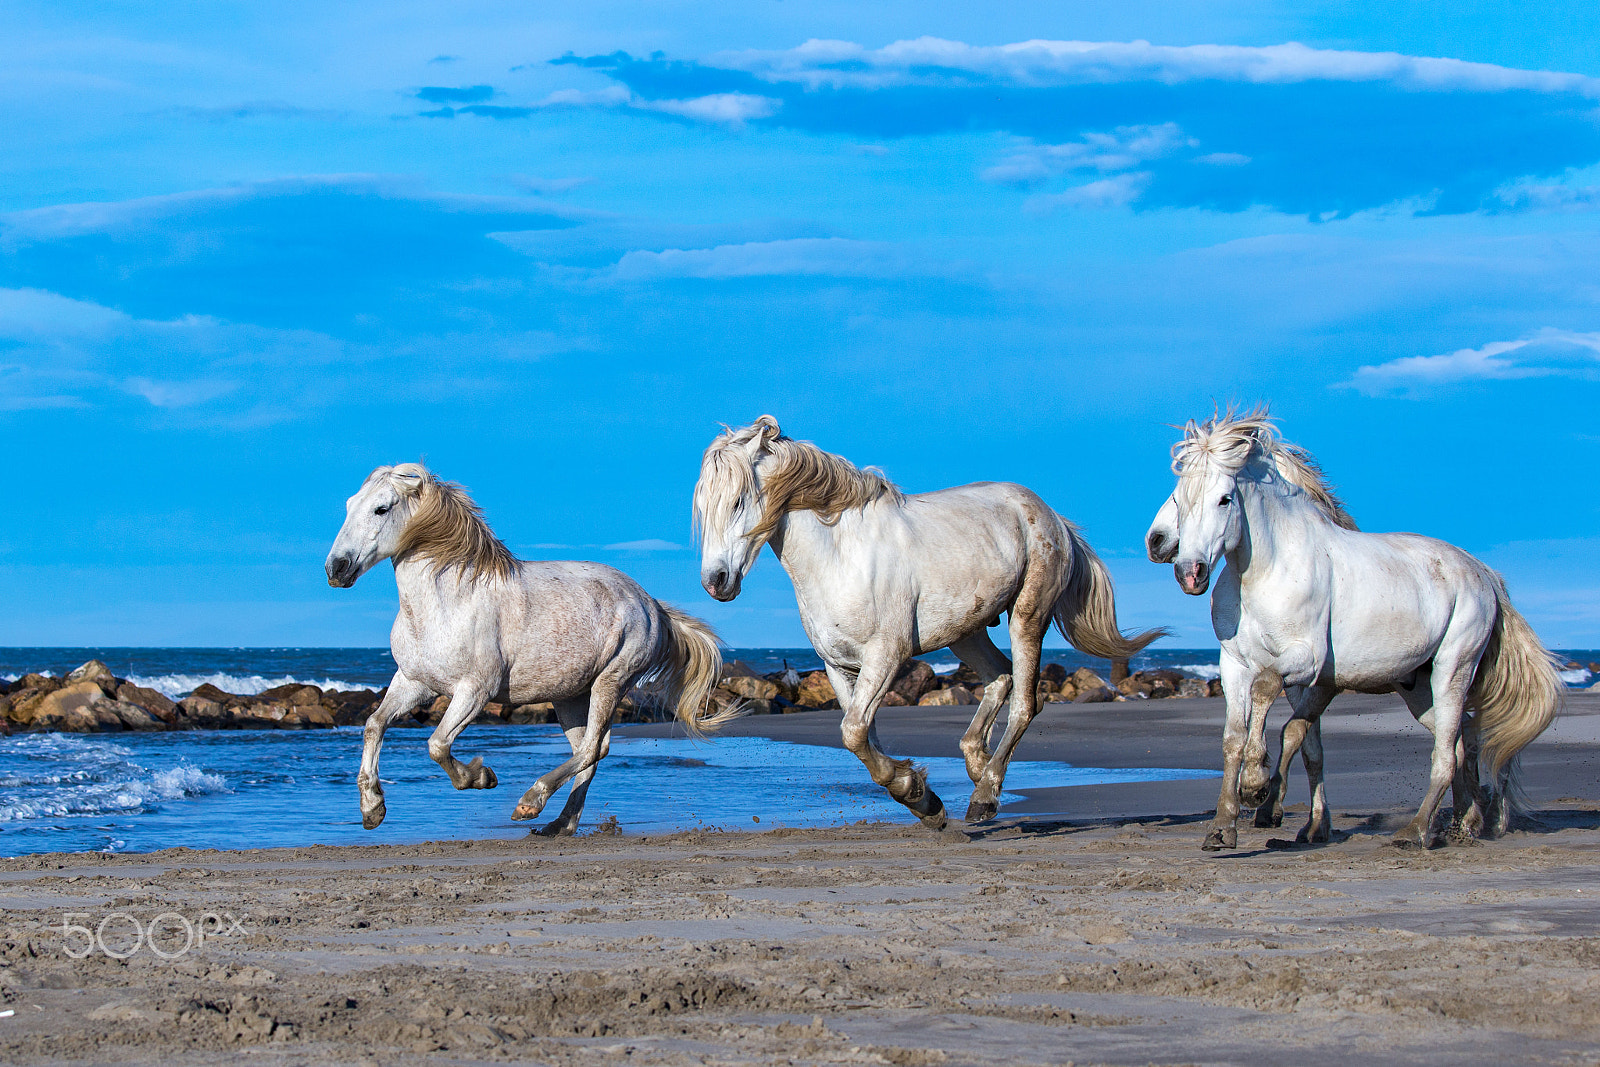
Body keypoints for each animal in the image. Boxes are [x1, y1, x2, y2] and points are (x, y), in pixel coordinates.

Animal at [324, 462, 735, 836]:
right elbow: (374, 725)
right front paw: (372, 809)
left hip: (611, 682)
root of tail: (652, 604)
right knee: (591, 751)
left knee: (590, 749)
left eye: (381, 508)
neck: (446, 602)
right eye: (348, 505)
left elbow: (437, 744)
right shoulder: (414, 683)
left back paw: (531, 803)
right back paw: (560, 824)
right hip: (571, 696)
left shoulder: (474, 691)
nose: (336, 568)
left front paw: (481, 776)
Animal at [694, 415, 1165, 829]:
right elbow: (862, 737)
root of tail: (1052, 515)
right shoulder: (839, 666)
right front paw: (923, 799)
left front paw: (920, 795)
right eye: (702, 507)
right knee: (1000, 678)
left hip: (1027, 617)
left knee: (1026, 702)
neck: (840, 556)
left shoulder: (886, 656)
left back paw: (985, 796)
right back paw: (977, 764)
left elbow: (854, 732)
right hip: (967, 632)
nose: (715, 581)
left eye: (737, 501)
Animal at [1150, 409, 1560, 850]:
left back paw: (1417, 831)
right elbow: (1239, 738)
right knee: (1462, 739)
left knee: (1447, 751)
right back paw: (1465, 824)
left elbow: (1269, 695)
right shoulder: (1235, 665)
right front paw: (1225, 827)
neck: (1262, 572)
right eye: (1180, 496)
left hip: (1454, 668)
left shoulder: (1305, 662)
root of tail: (1483, 571)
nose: (1189, 572)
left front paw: (1257, 787)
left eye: (1224, 499)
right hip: (1418, 688)